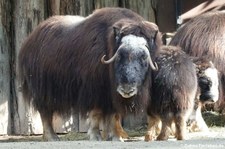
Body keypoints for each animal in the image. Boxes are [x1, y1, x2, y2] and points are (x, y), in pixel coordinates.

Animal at [18, 7, 162, 141]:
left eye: (144, 57)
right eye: (119, 56)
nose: (127, 88)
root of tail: (29, 41)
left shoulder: (110, 95)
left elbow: (113, 115)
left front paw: (115, 137)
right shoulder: (94, 90)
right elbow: (96, 113)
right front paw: (96, 136)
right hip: (43, 90)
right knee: (45, 112)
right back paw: (52, 137)